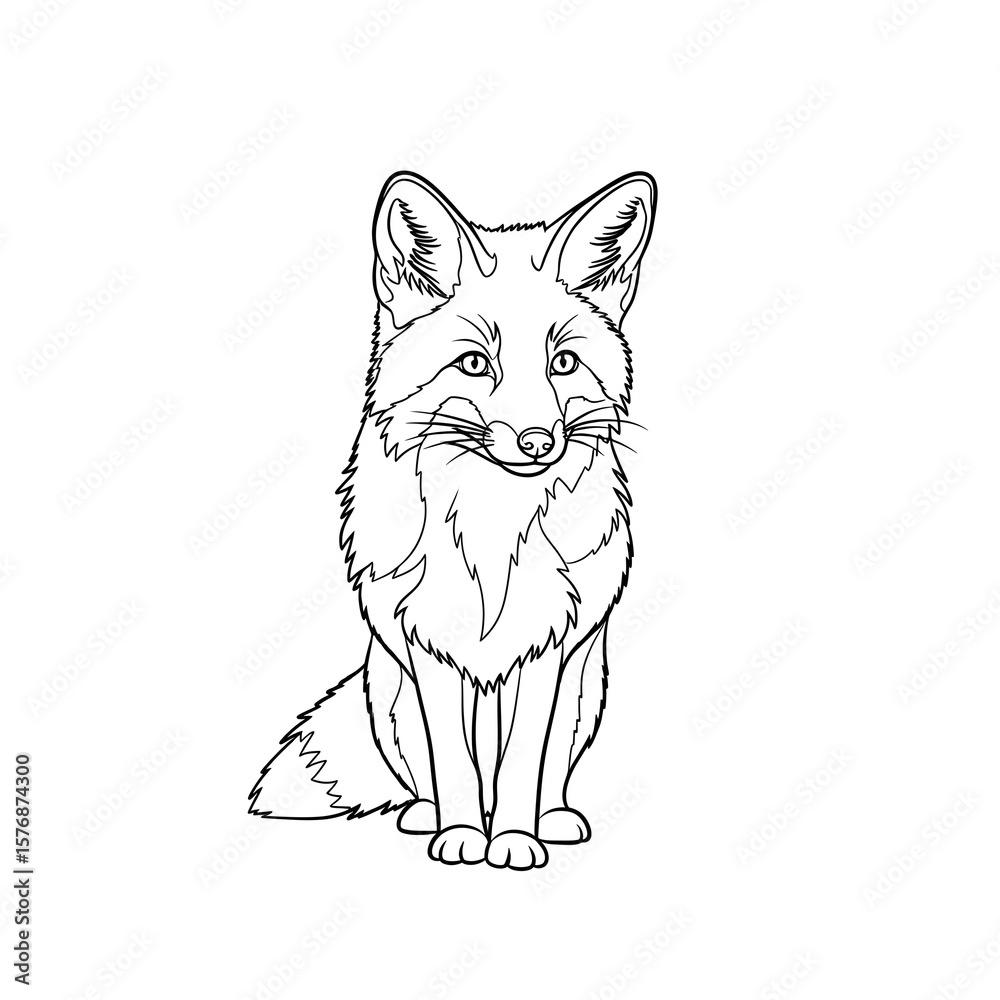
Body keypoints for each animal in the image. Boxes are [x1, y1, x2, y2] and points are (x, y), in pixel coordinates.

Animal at [249, 170, 657, 869]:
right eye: (474, 364)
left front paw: (515, 841)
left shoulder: (545, 647)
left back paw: (552, 820)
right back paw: (425, 816)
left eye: (563, 363)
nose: (537, 442)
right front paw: (464, 835)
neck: (492, 530)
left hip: (585, 691)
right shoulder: (429, 647)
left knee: (551, 773)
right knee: (424, 776)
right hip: (388, 694)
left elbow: (522, 762)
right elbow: (456, 764)